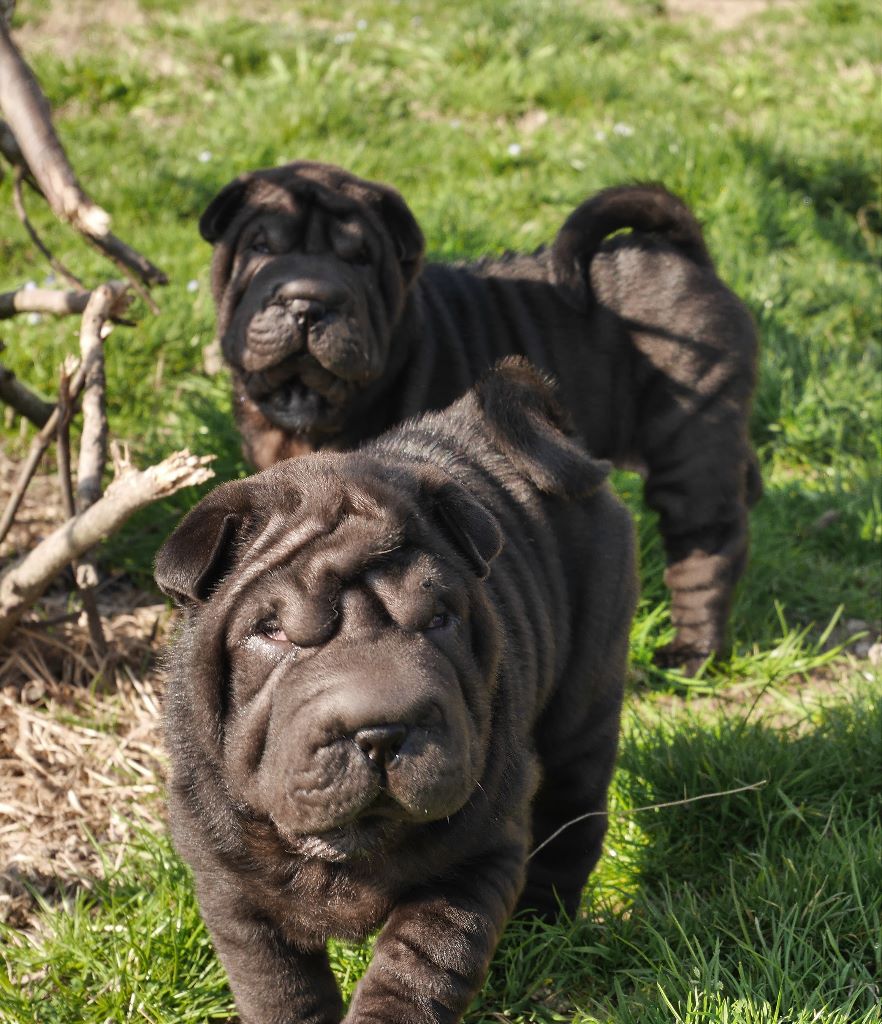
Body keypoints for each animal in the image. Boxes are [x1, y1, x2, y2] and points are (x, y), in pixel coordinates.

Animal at [152, 360, 635, 1024]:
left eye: (438, 619)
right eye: (273, 631)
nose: (380, 731)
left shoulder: (474, 858)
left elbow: (418, 968)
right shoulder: (230, 884)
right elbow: (279, 986)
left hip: (585, 694)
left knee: (572, 812)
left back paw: (544, 927)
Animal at [197, 159, 758, 671]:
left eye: (360, 259)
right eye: (260, 249)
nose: (308, 300)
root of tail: (683, 255)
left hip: (690, 432)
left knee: (706, 543)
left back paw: (691, 651)